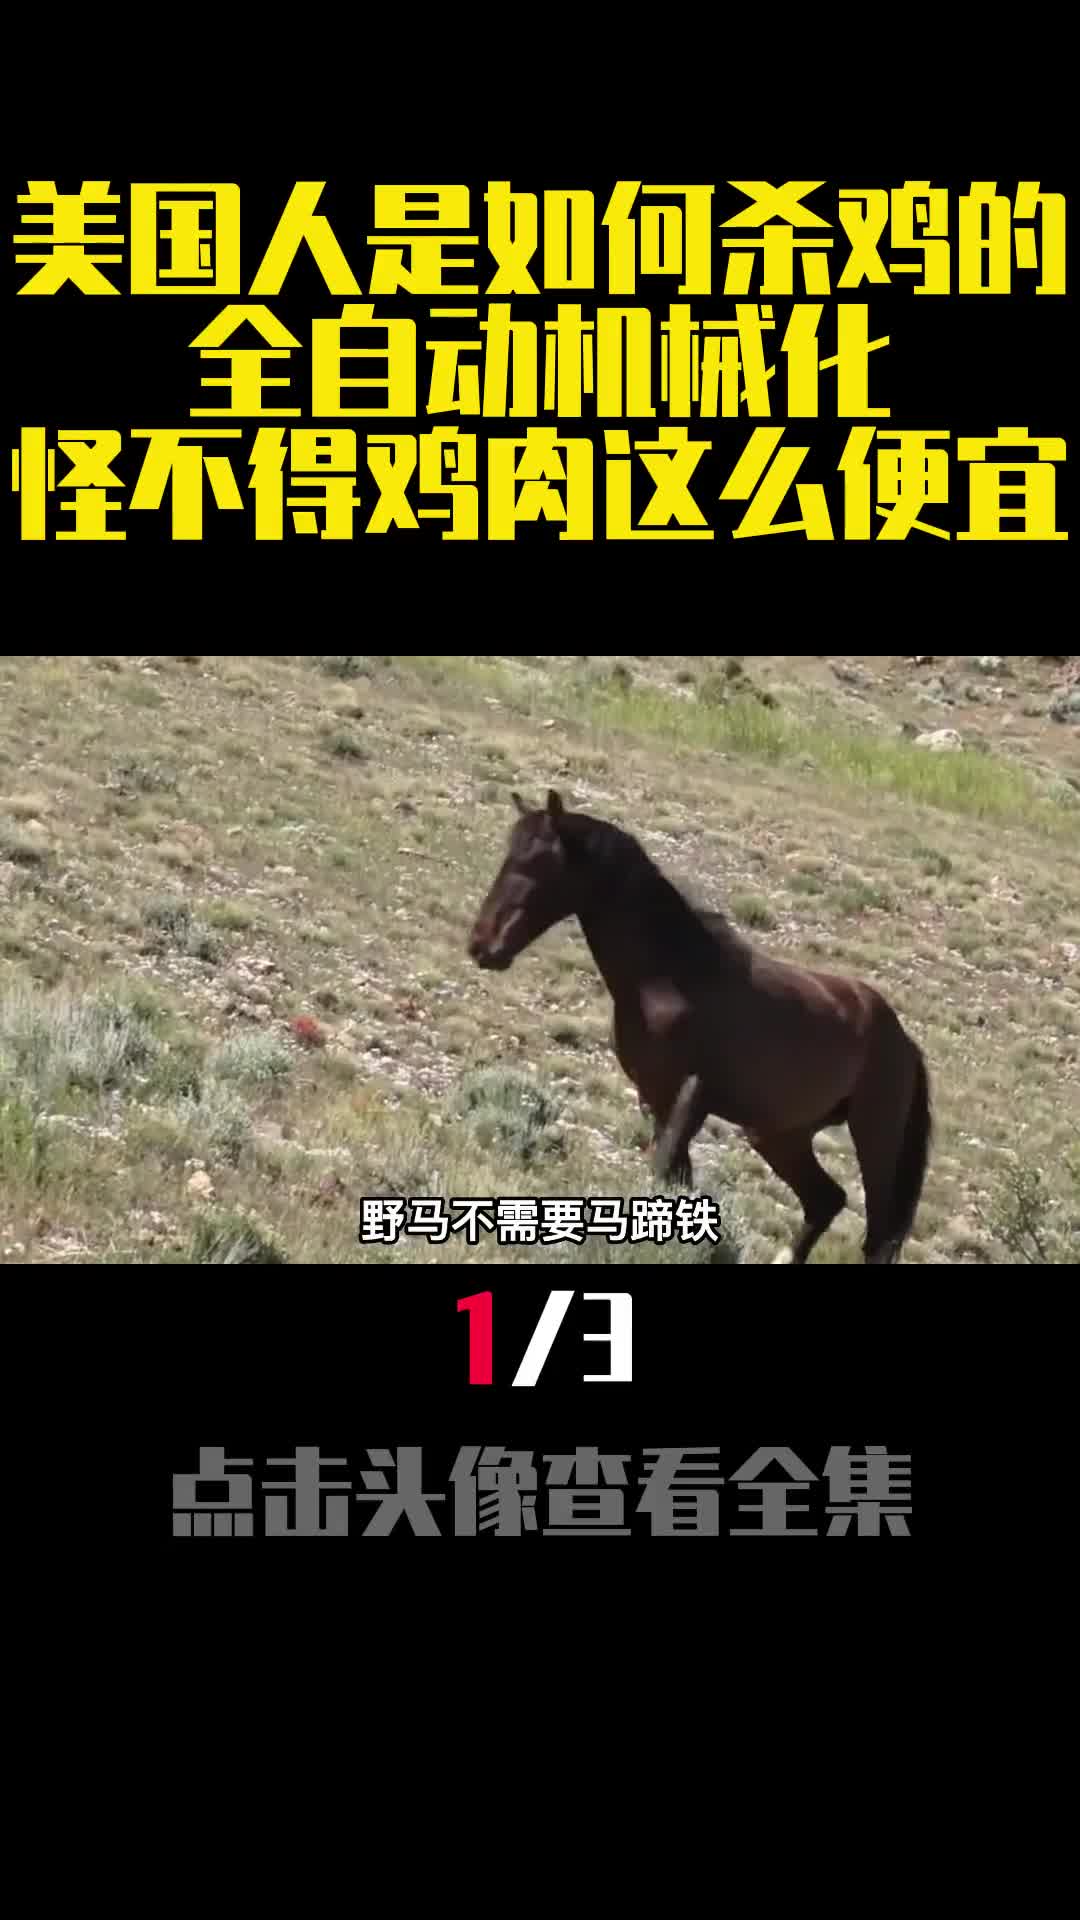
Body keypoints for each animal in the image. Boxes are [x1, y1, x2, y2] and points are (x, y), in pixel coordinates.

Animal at [467, 789, 932, 1265]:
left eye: (538, 863)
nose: (483, 945)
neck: (670, 977)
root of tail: (904, 1042)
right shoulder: (655, 1095)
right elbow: (676, 1178)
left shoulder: (691, 1094)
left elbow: (666, 1171)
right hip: (779, 1134)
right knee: (826, 1200)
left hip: (874, 1137)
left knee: (877, 1233)